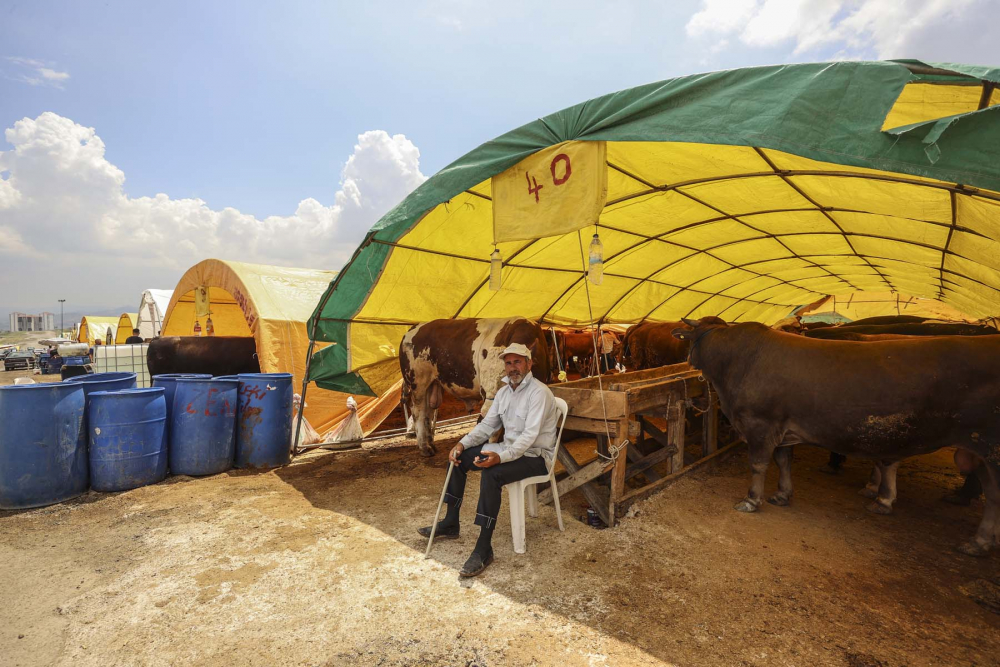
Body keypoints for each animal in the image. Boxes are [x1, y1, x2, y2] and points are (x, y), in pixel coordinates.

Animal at [400, 318, 552, 454]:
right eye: (483, 390)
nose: (486, 412)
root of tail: (414, 327)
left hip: (432, 386)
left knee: (428, 412)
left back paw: (430, 444)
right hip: (418, 384)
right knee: (419, 412)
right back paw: (425, 448)